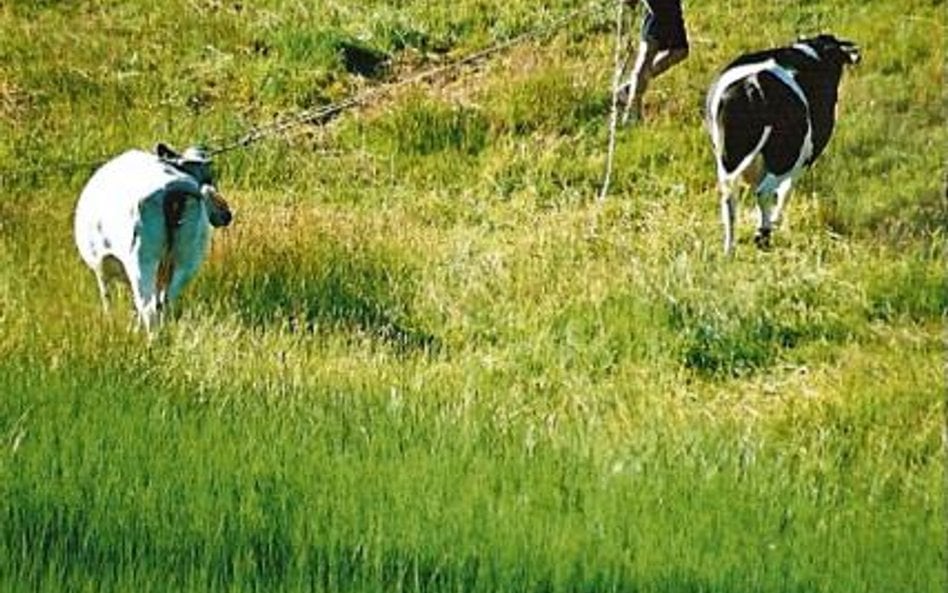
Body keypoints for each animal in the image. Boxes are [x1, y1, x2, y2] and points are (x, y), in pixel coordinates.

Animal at [74, 142, 233, 330]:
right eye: (209, 178)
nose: (226, 214)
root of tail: (172, 187)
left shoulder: (100, 265)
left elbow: (108, 299)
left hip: (142, 258)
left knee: (148, 307)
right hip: (188, 259)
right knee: (164, 302)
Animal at [704, 33, 860, 253]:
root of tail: (755, 86)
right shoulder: (804, 159)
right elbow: (786, 190)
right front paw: (775, 222)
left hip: (728, 157)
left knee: (729, 198)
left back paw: (730, 249)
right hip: (787, 154)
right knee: (765, 191)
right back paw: (763, 234)